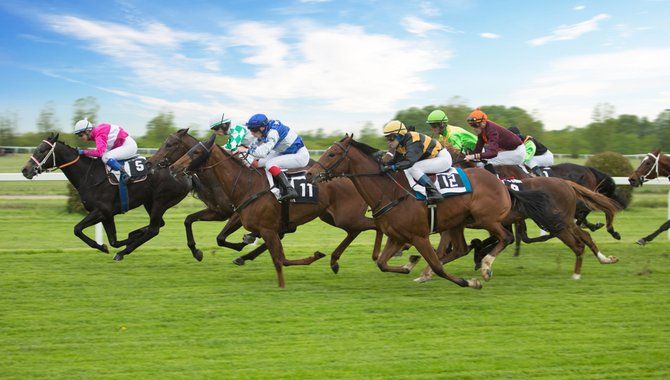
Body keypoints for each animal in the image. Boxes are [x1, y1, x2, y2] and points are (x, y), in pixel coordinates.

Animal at [21, 132, 192, 260]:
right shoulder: (107, 215)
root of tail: (183, 172)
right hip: (149, 202)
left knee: (154, 229)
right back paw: (134, 236)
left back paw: (123, 252)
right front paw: (118, 241)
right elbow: (113, 240)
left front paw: (103, 247)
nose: (25, 170)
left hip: (160, 201)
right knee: (157, 225)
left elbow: (77, 229)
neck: (90, 175)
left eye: (42, 150)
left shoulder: (102, 210)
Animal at [308, 134, 568, 288]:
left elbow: (437, 265)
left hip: (486, 218)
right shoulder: (397, 236)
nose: (310, 174)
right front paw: (409, 265)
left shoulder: (419, 236)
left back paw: (485, 267)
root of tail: (502, 182)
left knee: (505, 237)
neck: (390, 191)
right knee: (462, 248)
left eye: (332, 153)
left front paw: (468, 282)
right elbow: (382, 263)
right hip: (458, 223)